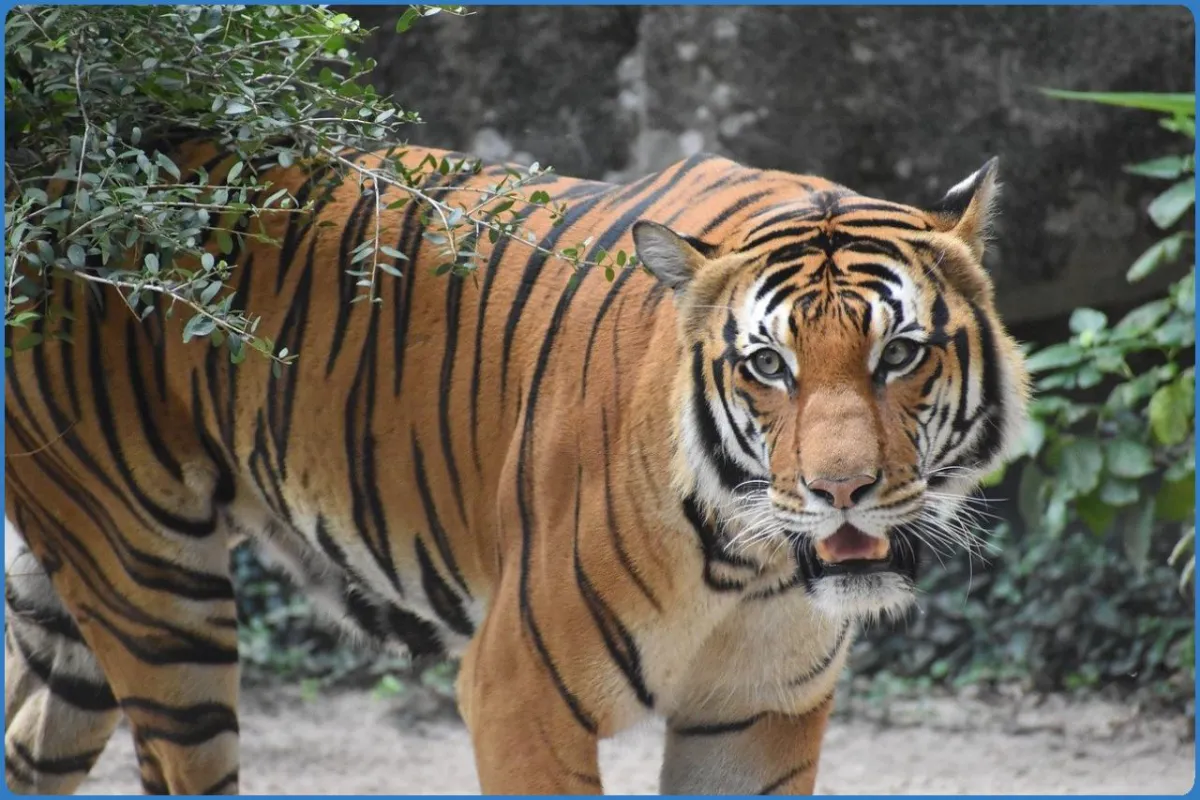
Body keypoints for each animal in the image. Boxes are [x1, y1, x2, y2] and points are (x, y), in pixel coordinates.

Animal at [4, 133, 1030, 795]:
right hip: (157, 597)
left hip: (78, 607)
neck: (755, 568)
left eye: (899, 354)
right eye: (768, 366)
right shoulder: (518, 692)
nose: (841, 491)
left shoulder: (756, 714)